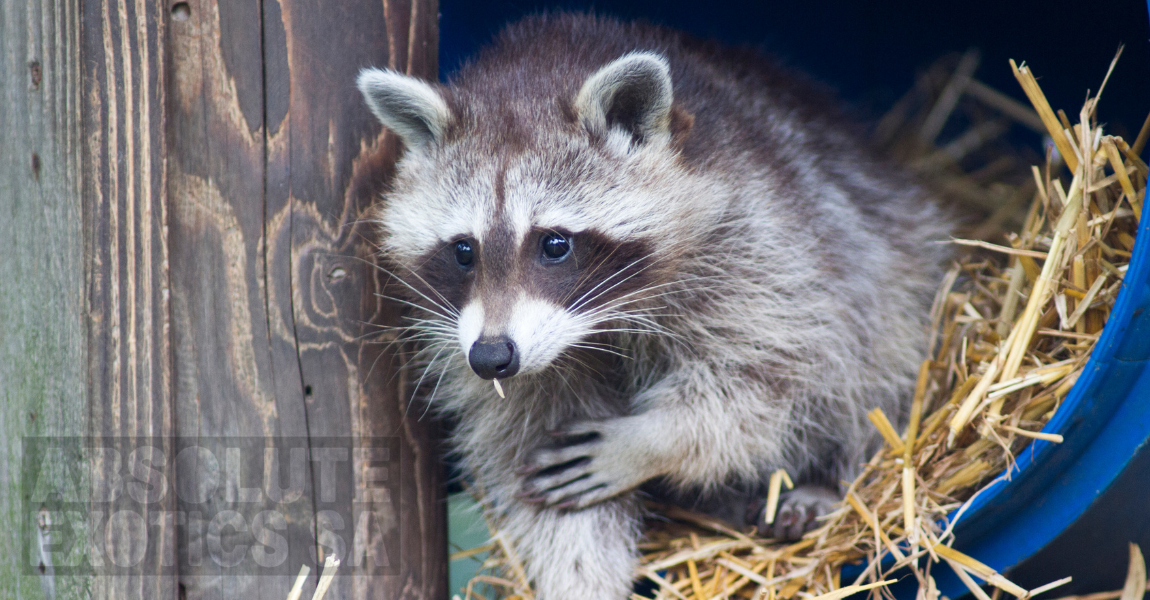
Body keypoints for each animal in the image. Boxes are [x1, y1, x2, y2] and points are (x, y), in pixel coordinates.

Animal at [358, 12, 952, 597]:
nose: (491, 358)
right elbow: (532, 472)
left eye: (555, 244)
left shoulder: (761, 244)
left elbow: (769, 379)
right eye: (464, 251)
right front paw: (579, 580)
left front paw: (653, 440)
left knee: (876, 355)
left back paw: (830, 480)